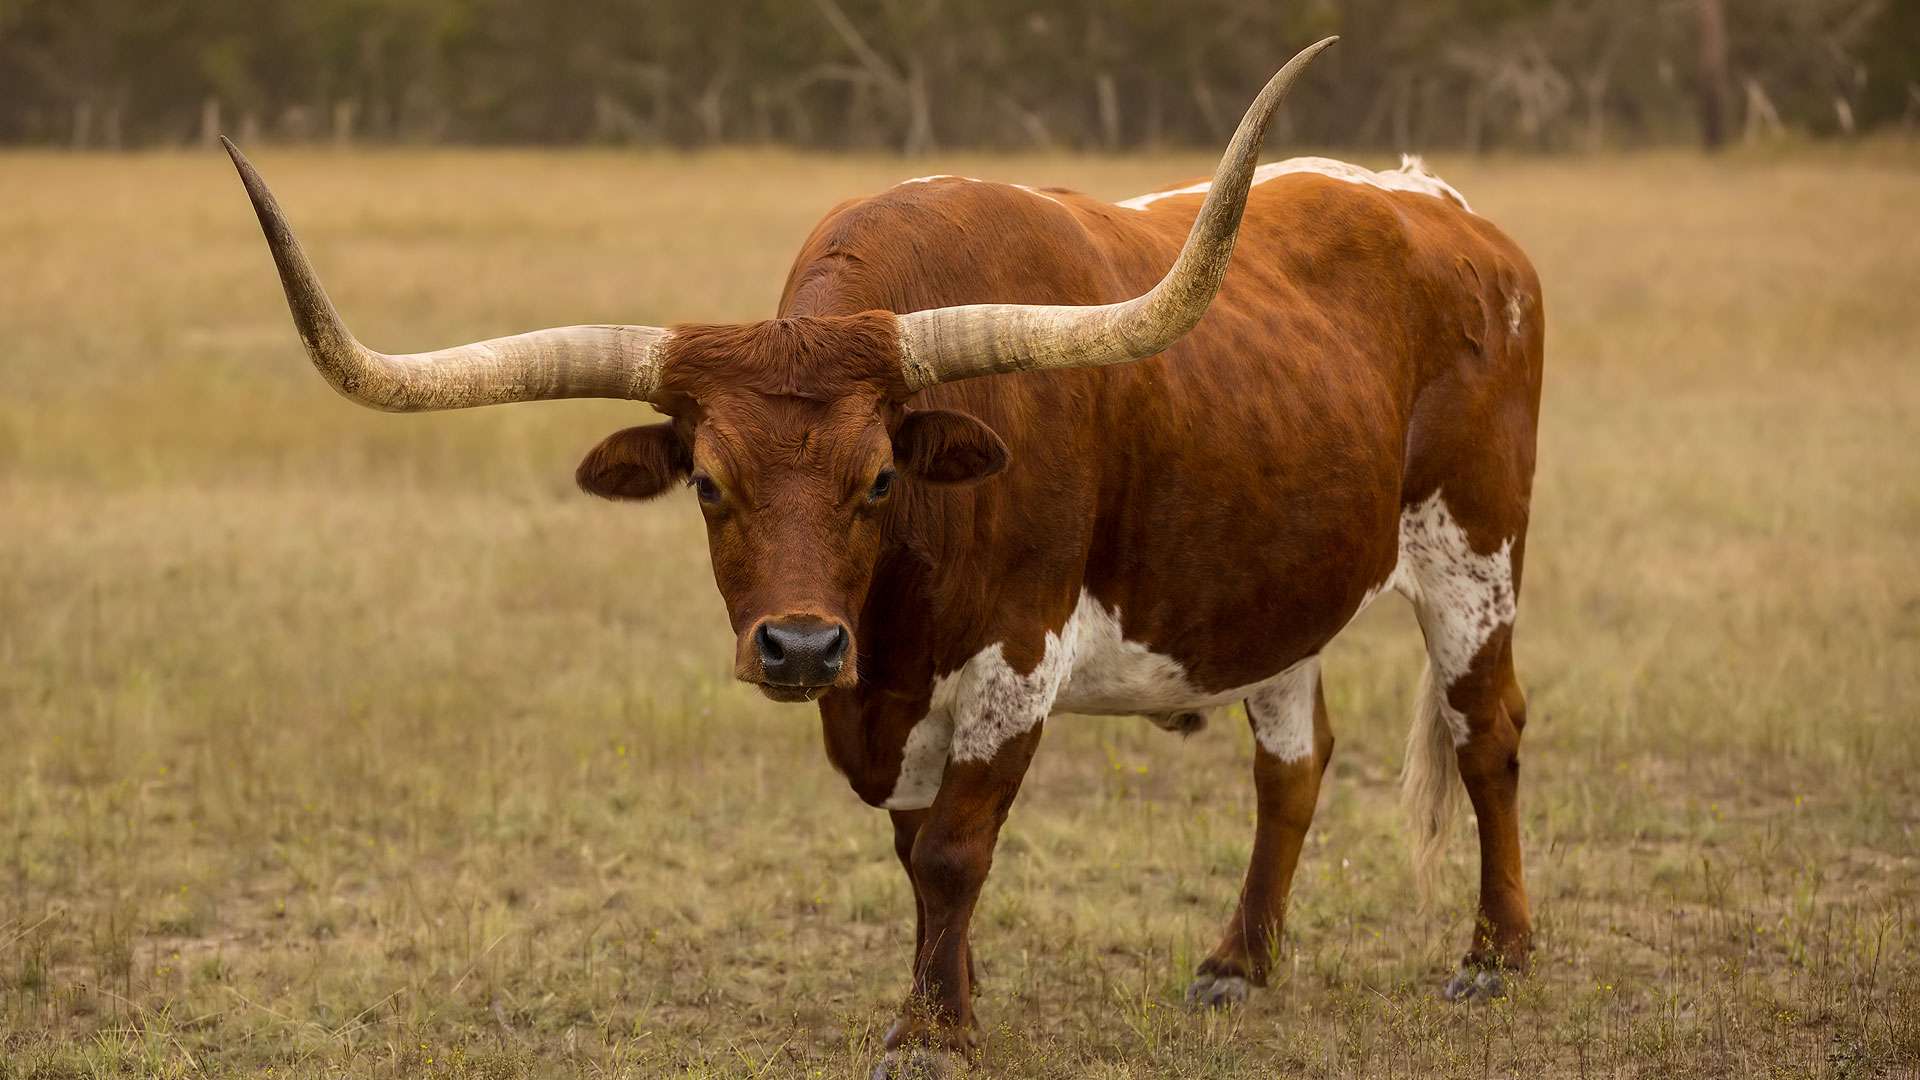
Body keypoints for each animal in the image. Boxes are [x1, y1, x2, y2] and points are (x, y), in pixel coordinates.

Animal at [224, 39, 1543, 1068]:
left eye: (876, 480)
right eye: (709, 484)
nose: (802, 647)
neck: (893, 624)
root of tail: (1448, 212)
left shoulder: (1018, 656)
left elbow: (956, 848)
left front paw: (931, 1035)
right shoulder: (885, 698)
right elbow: (916, 853)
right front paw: (950, 994)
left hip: (1474, 553)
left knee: (1488, 732)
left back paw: (1497, 955)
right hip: (1274, 589)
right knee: (1294, 764)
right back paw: (1239, 960)